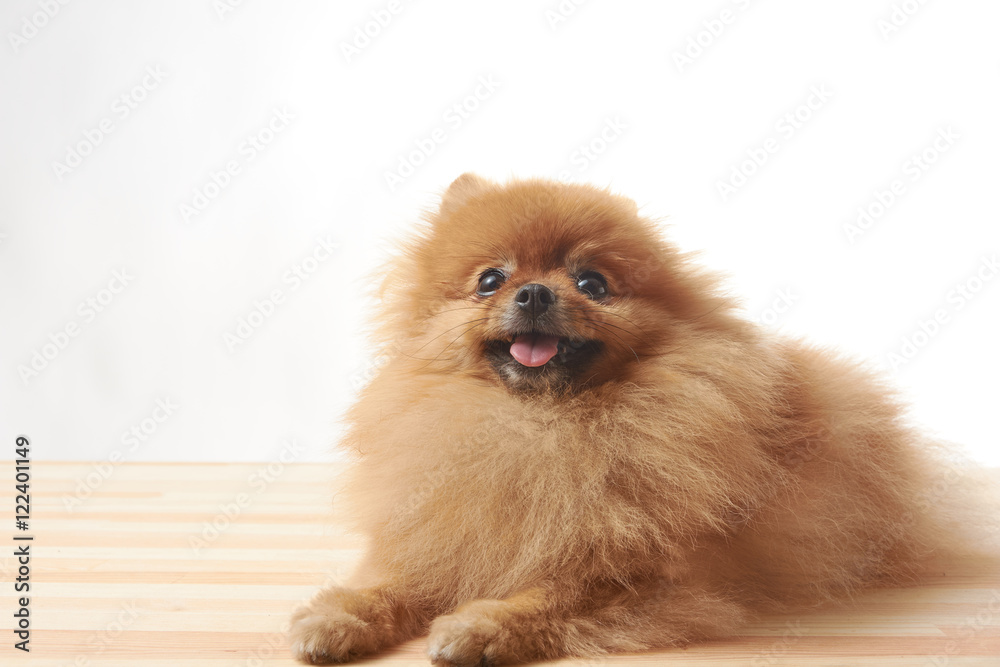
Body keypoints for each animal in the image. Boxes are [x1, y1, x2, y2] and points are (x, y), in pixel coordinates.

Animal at [292, 175, 964, 664]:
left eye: (592, 282)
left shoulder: (651, 576)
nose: (533, 292)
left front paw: (481, 627)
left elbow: (555, 593)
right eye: (490, 280)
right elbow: (397, 581)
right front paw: (339, 613)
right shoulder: (443, 530)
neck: (538, 426)